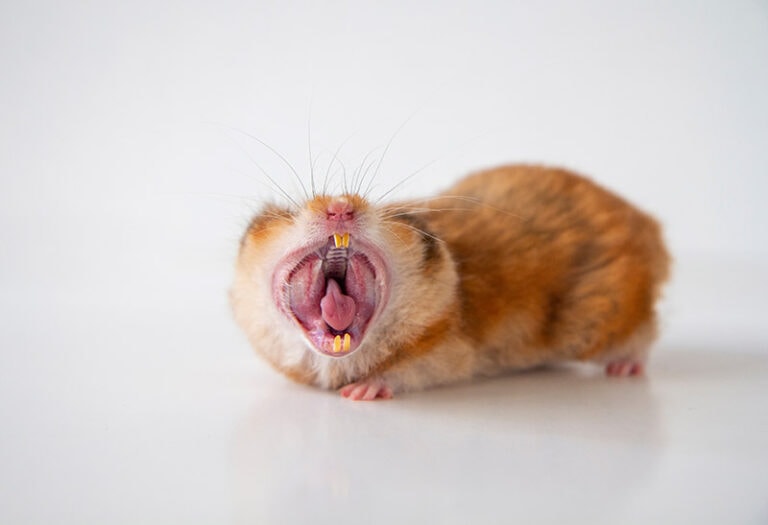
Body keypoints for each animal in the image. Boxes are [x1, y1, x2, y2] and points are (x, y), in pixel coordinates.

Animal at [230, 165, 670, 400]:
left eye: (396, 216)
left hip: (604, 322)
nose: (340, 208)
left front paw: (358, 393)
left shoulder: (448, 352)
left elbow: (401, 370)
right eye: (287, 213)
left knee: (642, 337)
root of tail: (648, 225)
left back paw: (624, 369)